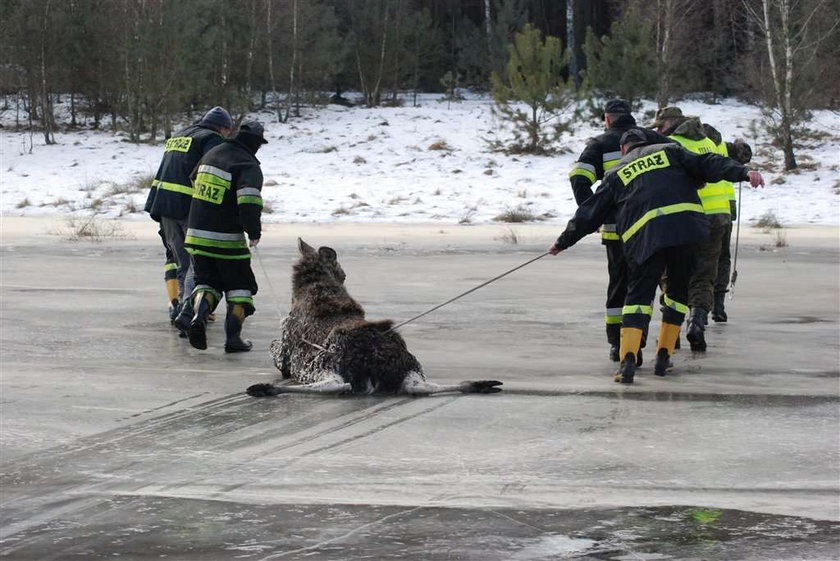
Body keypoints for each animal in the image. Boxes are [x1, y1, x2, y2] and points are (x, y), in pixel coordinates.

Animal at [246, 238, 502, 396]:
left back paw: (265, 388)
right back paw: (480, 383)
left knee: (338, 385)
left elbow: (273, 345)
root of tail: (377, 359)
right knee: (421, 386)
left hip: (323, 364)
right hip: (412, 366)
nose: (345, 274)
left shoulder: (285, 355)